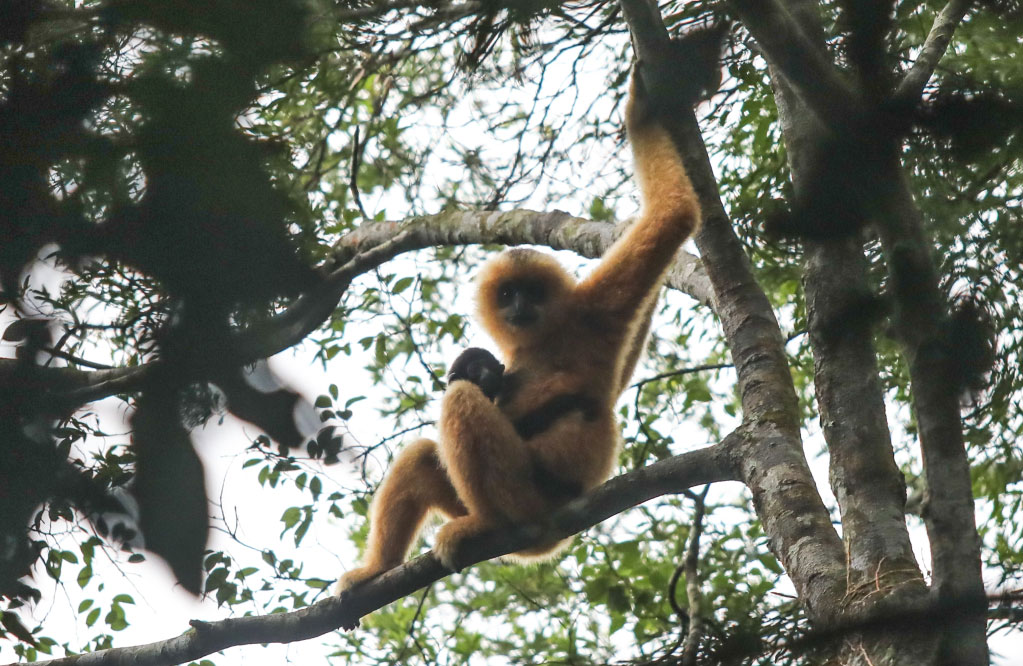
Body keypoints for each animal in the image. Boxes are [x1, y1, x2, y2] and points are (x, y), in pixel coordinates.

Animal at [336, 62, 702, 594]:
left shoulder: (591, 313)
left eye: (531, 291)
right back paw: (376, 569)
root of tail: (545, 542)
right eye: (509, 294)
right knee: (424, 452)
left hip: (530, 496)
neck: (542, 342)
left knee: (459, 402)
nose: (520, 306)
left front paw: (641, 105)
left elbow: (672, 215)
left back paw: (489, 524)